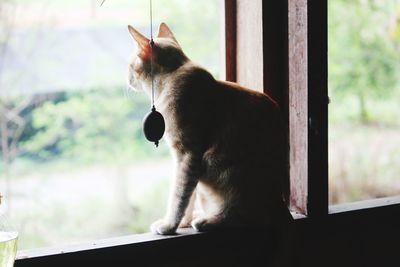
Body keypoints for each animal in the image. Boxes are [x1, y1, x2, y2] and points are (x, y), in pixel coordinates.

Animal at [127, 23, 290, 237]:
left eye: (129, 66)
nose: (126, 79)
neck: (172, 76)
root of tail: (281, 203)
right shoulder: (185, 161)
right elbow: (187, 198)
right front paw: (182, 223)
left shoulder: (187, 155)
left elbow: (179, 197)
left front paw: (170, 226)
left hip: (219, 168)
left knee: (241, 217)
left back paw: (207, 221)